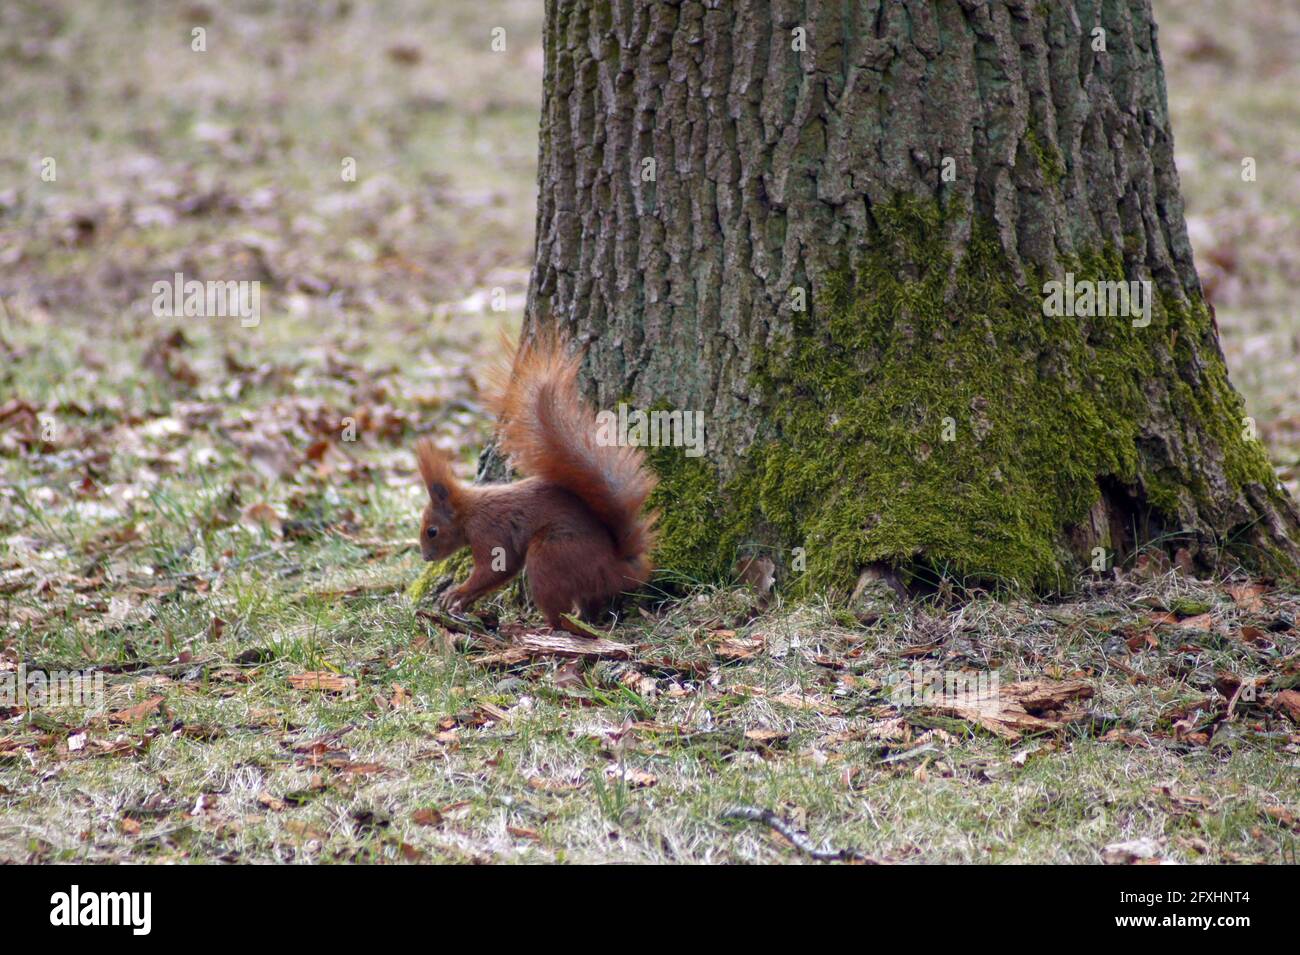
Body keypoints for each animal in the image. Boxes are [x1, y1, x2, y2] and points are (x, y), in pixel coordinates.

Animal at [416, 332, 660, 639]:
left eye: (432, 531)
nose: (426, 557)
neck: (470, 509)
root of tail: (618, 564)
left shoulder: (488, 531)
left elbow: (497, 568)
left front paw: (456, 594)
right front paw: (462, 601)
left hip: (550, 554)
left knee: (557, 609)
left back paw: (547, 628)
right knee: (589, 606)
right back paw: (581, 619)